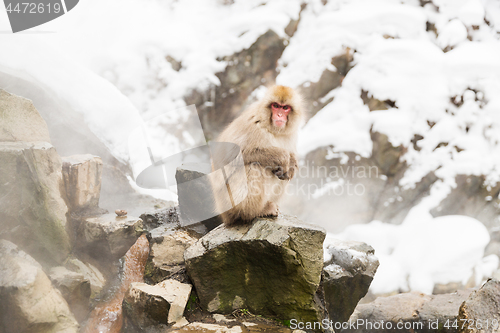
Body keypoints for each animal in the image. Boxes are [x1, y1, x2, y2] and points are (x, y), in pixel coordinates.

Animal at [211, 85, 304, 226]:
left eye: (285, 108)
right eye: (275, 106)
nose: (280, 115)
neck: (272, 129)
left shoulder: (290, 134)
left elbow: (289, 164)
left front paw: (292, 163)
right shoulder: (252, 126)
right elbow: (231, 158)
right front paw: (282, 156)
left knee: (284, 176)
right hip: (227, 202)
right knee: (253, 166)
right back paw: (255, 211)